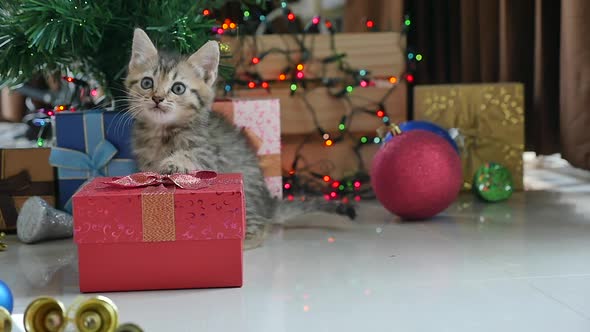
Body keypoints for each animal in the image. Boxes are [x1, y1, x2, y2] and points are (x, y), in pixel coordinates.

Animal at [126, 29, 356, 239]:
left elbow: (193, 155)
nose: (157, 98)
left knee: (259, 228)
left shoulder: (210, 153)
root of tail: (267, 202)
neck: (162, 131)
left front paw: (173, 163)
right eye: (147, 83)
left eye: (178, 88)